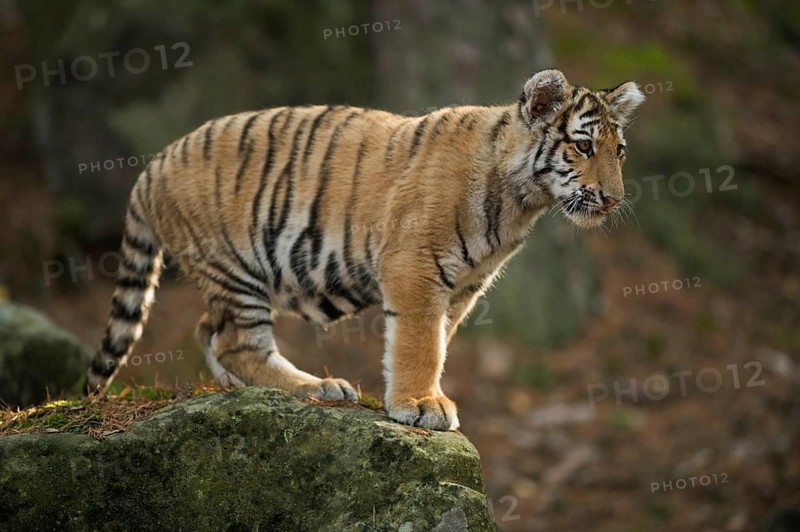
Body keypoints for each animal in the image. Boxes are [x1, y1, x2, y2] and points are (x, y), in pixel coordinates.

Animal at [84, 69, 644, 431]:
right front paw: (421, 404)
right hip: (236, 268)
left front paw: (421, 396)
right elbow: (419, 340)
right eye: (583, 146)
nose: (614, 199)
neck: (521, 200)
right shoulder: (415, 265)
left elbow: (438, 341)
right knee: (236, 343)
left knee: (209, 330)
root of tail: (153, 164)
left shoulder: (465, 285)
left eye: (618, 151)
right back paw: (315, 387)